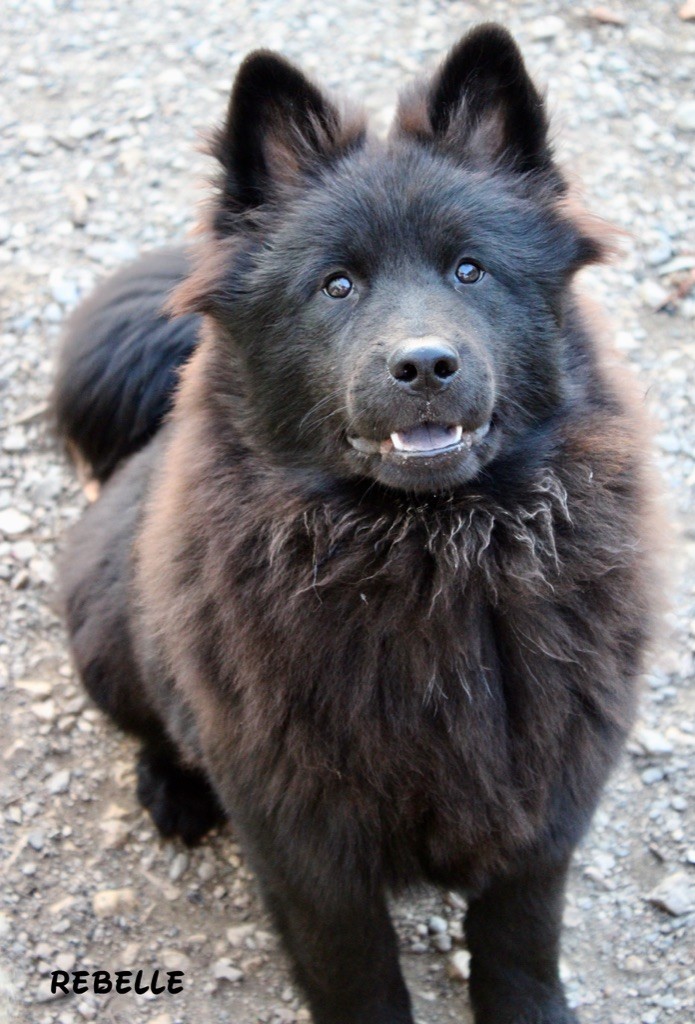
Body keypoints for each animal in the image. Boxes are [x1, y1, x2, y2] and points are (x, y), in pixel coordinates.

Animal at [55, 24, 659, 1024]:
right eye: (336, 286)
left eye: (469, 269)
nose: (424, 365)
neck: (432, 562)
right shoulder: (306, 843)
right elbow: (355, 970)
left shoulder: (544, 807)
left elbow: (520, 944)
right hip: (108, 639)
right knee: (150, 726)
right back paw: (174, 791)